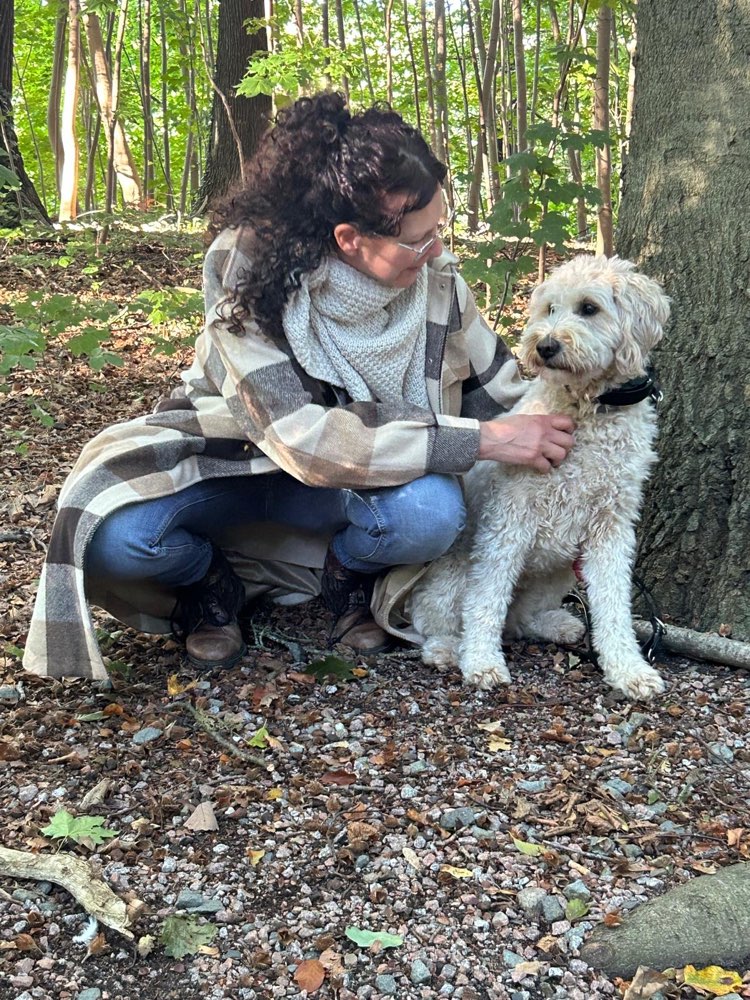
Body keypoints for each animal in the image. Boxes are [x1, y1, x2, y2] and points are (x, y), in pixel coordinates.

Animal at [414, 254, 672, 700]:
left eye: (589, 307)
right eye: (550, 308)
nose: (545, 346)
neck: (590, 407)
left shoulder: (612, 528)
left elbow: (614, 604)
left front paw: (628, 668)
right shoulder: (508, 519)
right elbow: (486, 598)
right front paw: (481, 661)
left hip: (560, 569)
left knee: (519, 618)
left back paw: (555, 623)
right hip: (454, 574)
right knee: (433, 620)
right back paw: (449, 648)